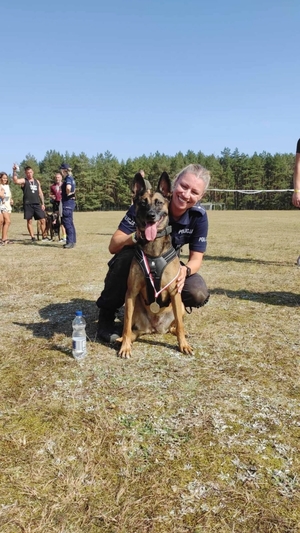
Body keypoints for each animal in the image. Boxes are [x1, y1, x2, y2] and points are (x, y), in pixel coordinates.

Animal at [117, 171, 192, 358]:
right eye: (143, 203)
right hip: (134, 307)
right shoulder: (131, 292)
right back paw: (122, 339)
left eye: (158, 202)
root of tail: (155, 328)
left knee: (176, 325)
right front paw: (125, 347)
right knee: (132, 329)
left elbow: (180, 325)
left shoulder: (174, 291)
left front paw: (183, 345)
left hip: (179, 305)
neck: (153, 250)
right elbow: (126, 325)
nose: (151, 215)